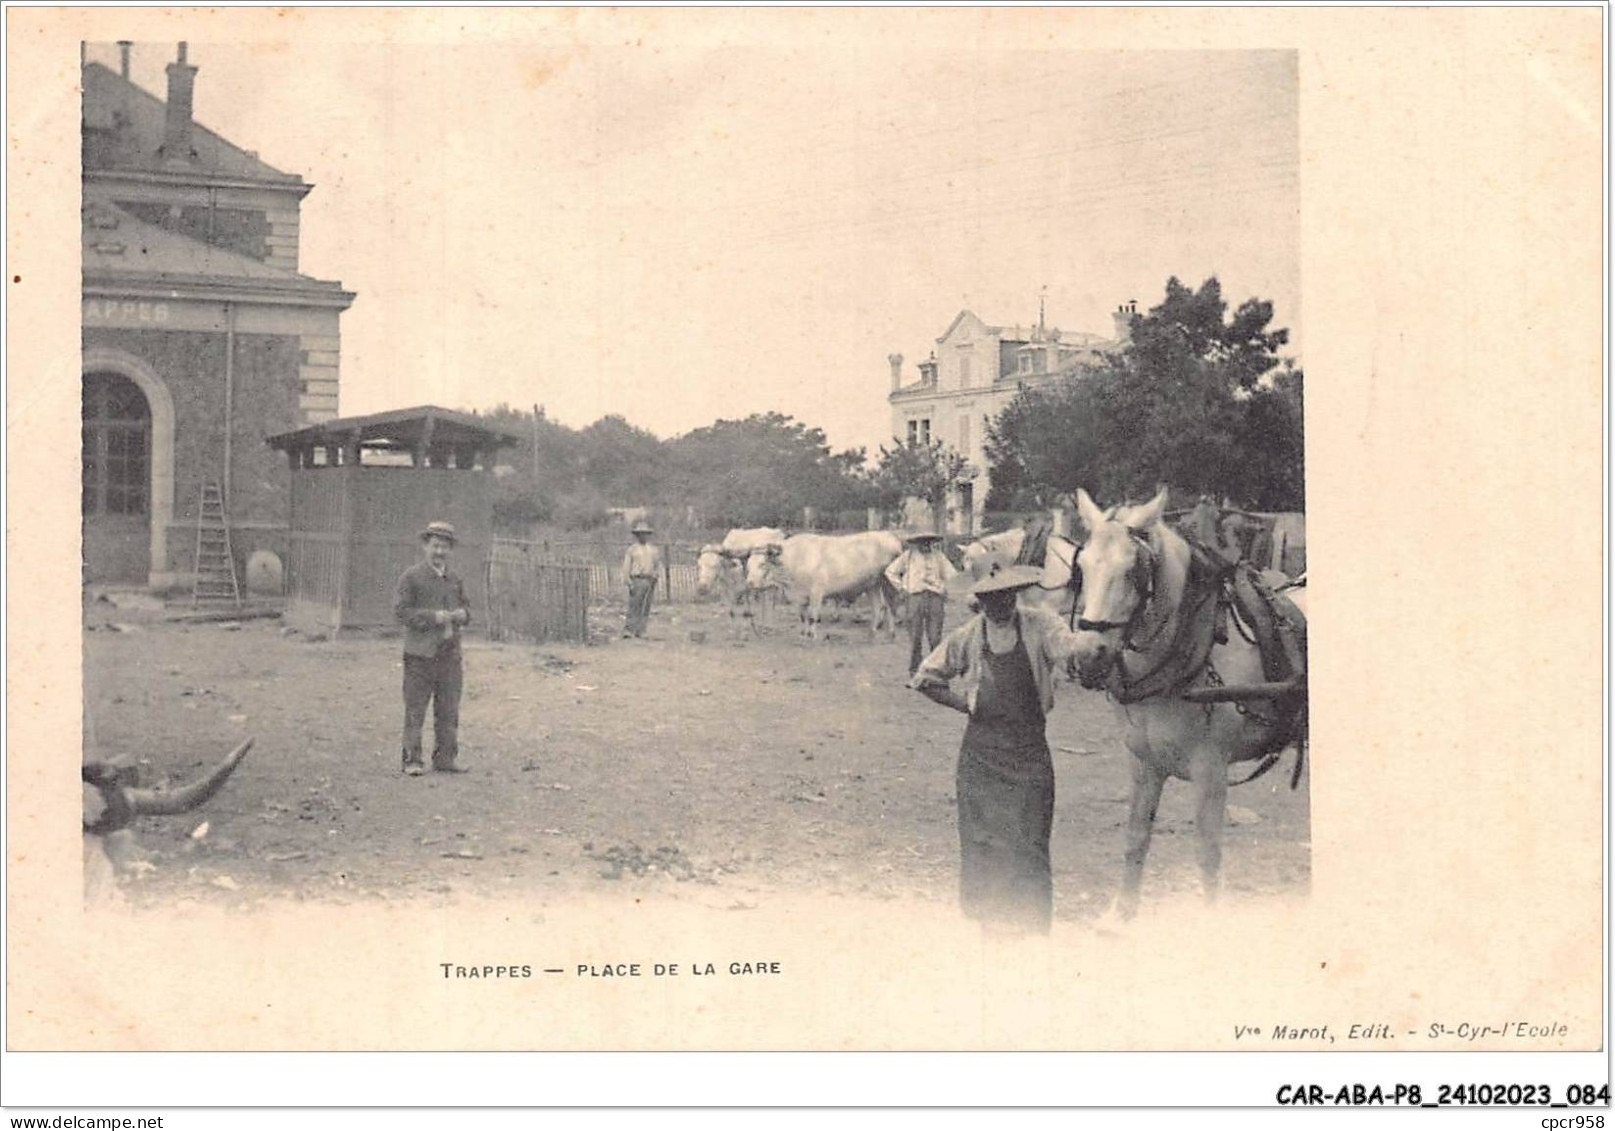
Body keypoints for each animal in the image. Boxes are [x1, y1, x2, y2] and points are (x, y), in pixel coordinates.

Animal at [1052, 484, 1304, 917]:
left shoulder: (1211, 770)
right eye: (1081, 566)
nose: (1088, 656)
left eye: (1133, 571)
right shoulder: (1144, 764)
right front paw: (1120, 914)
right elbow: (1136, 836)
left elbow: (1208, 854)